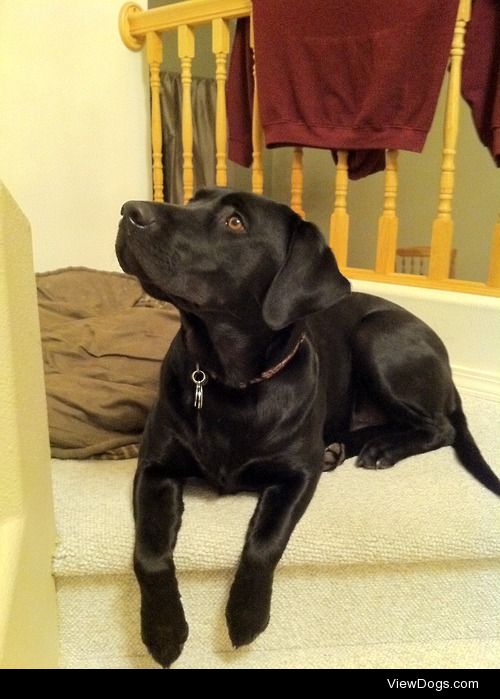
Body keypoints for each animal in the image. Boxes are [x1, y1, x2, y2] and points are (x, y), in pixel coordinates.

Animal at [114, 186, 500, 668]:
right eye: (191, 200)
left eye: (235, 222)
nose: (129, 211)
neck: (229, 380)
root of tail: (446, 365)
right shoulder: (156, 467)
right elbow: (149, 553)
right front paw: (163, 630)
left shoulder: (296, 475)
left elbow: (264, 542)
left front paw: (246, 615)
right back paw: (344, 448)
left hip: (378, 338)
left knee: (440, 428)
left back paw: (382, 450)